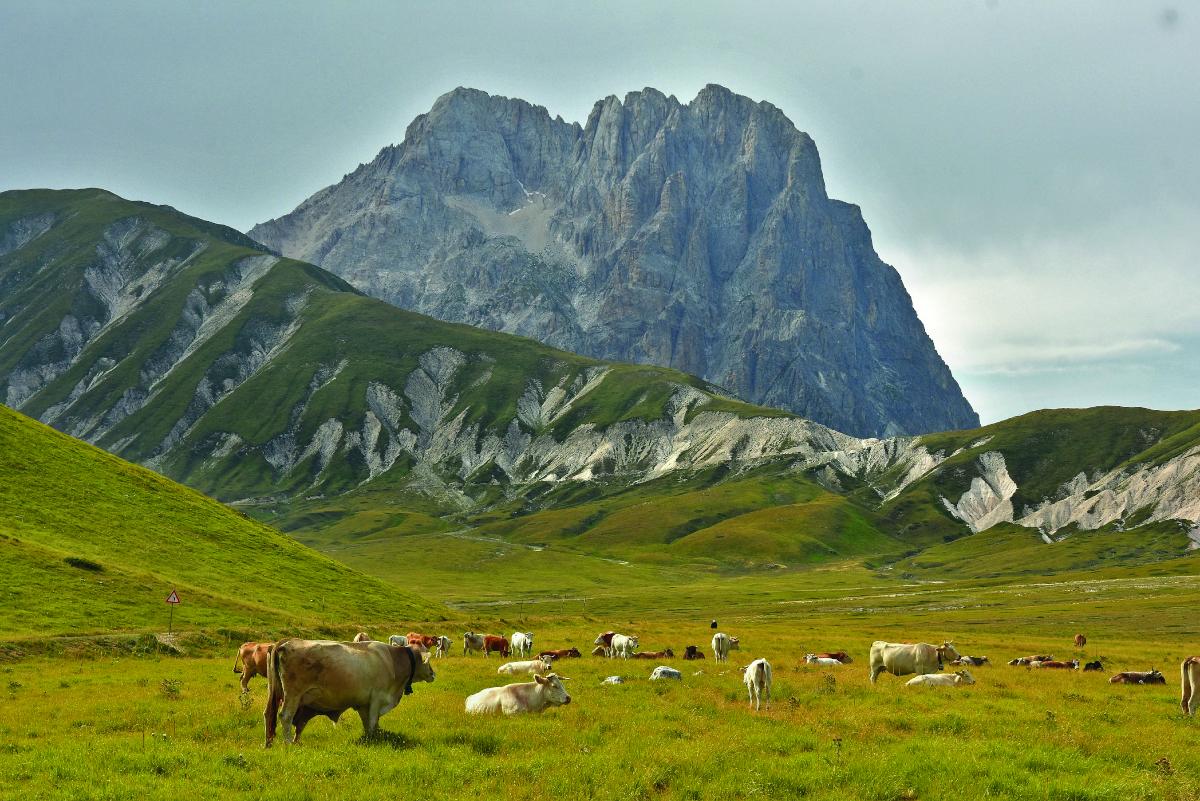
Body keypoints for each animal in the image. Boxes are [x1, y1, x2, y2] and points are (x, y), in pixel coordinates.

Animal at [265, 637, 434, 743]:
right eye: (428, 661)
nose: (433, 674)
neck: (393, 660)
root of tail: (287, 642)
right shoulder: (377, 699)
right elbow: (373, 722)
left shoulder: (364, 704)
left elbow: (368, 724)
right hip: (292, 695)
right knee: (285, 717)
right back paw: (288, 743)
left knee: (269, 715)